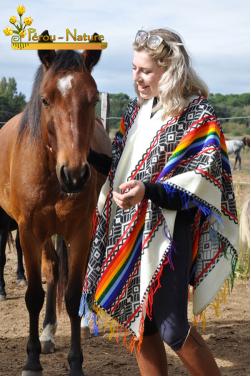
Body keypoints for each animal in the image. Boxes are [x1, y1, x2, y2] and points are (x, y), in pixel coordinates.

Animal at [0, 31, 111, 376]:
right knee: (51, 269)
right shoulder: (28, 231)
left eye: (92, 99)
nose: (74, 174)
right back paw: (47, 334)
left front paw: (75, 364)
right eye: (46, 99)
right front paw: (32, 360)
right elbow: (34, 295)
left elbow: (73, 296)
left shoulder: (80, 230)